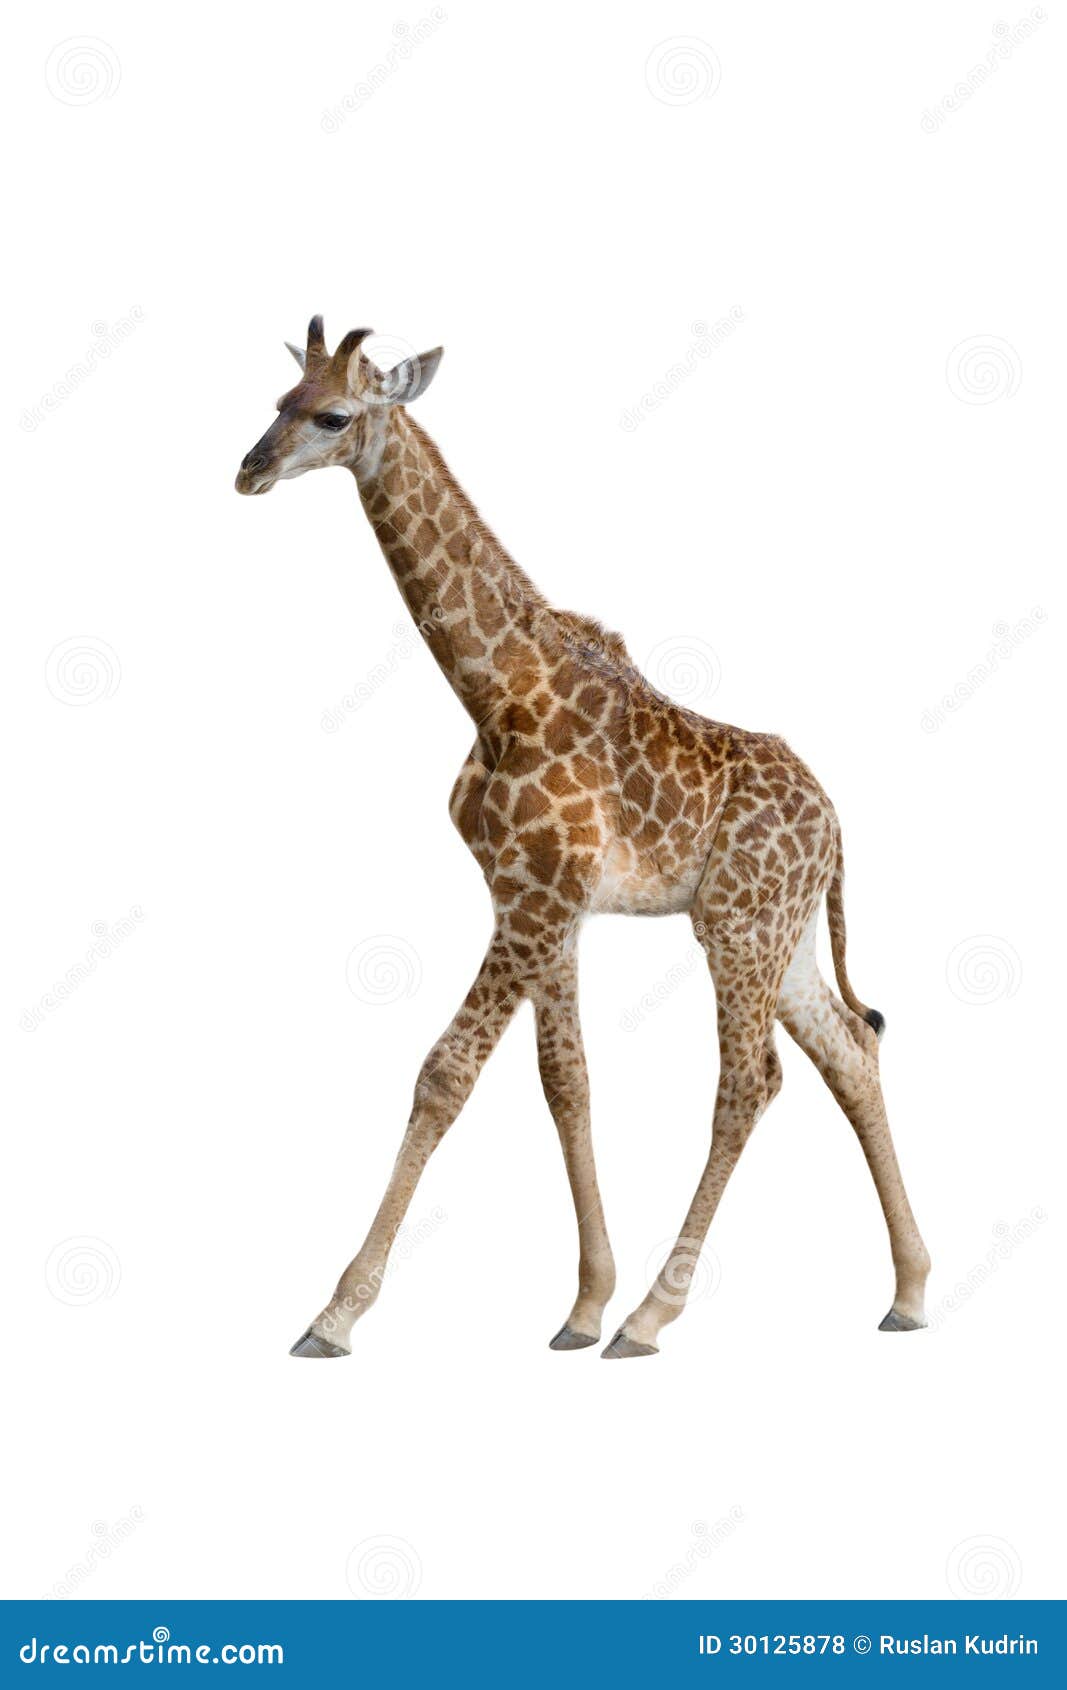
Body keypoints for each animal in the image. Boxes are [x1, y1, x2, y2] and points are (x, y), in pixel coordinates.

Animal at [236, 317, 931, 1359]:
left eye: (333, 415)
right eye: (278, 401)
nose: (249, 469)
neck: (495, 690)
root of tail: (836, 824)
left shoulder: (535, 898)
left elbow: (444, 1074)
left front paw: (335, 1314)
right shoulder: (538, 901)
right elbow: (565, 1080)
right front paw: (580, 1304)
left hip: (736, 924)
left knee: (750, 1079)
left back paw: (653, 1316)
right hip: (787, 931)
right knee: (849, 1049)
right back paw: (908, 1292)